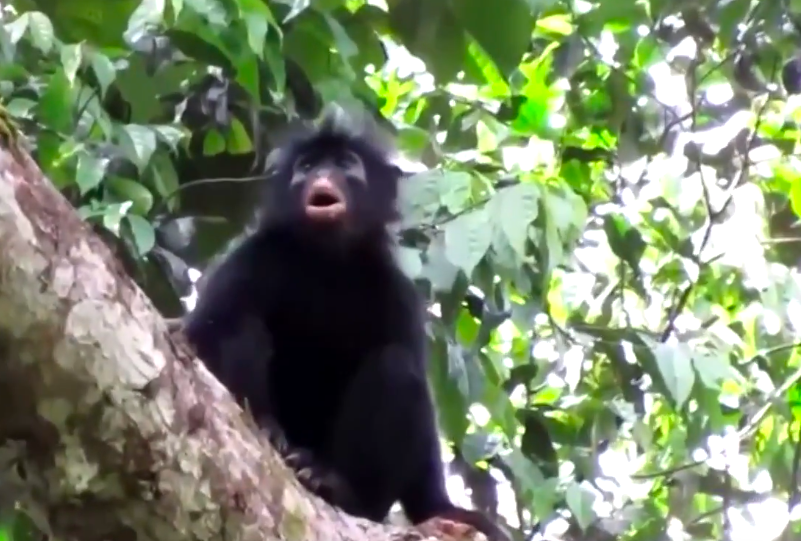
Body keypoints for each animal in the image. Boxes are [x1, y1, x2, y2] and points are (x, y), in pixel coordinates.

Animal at [182, 109, 511, 541]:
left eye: (344, 165)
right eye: (307, 167)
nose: (322, 175)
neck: (327, 263)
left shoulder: (396, 293)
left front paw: (440, 508)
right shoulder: (251, 258)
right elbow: (199, 335)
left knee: (395, 367)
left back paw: (338, 487)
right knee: (238, 325)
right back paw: (267, 428)